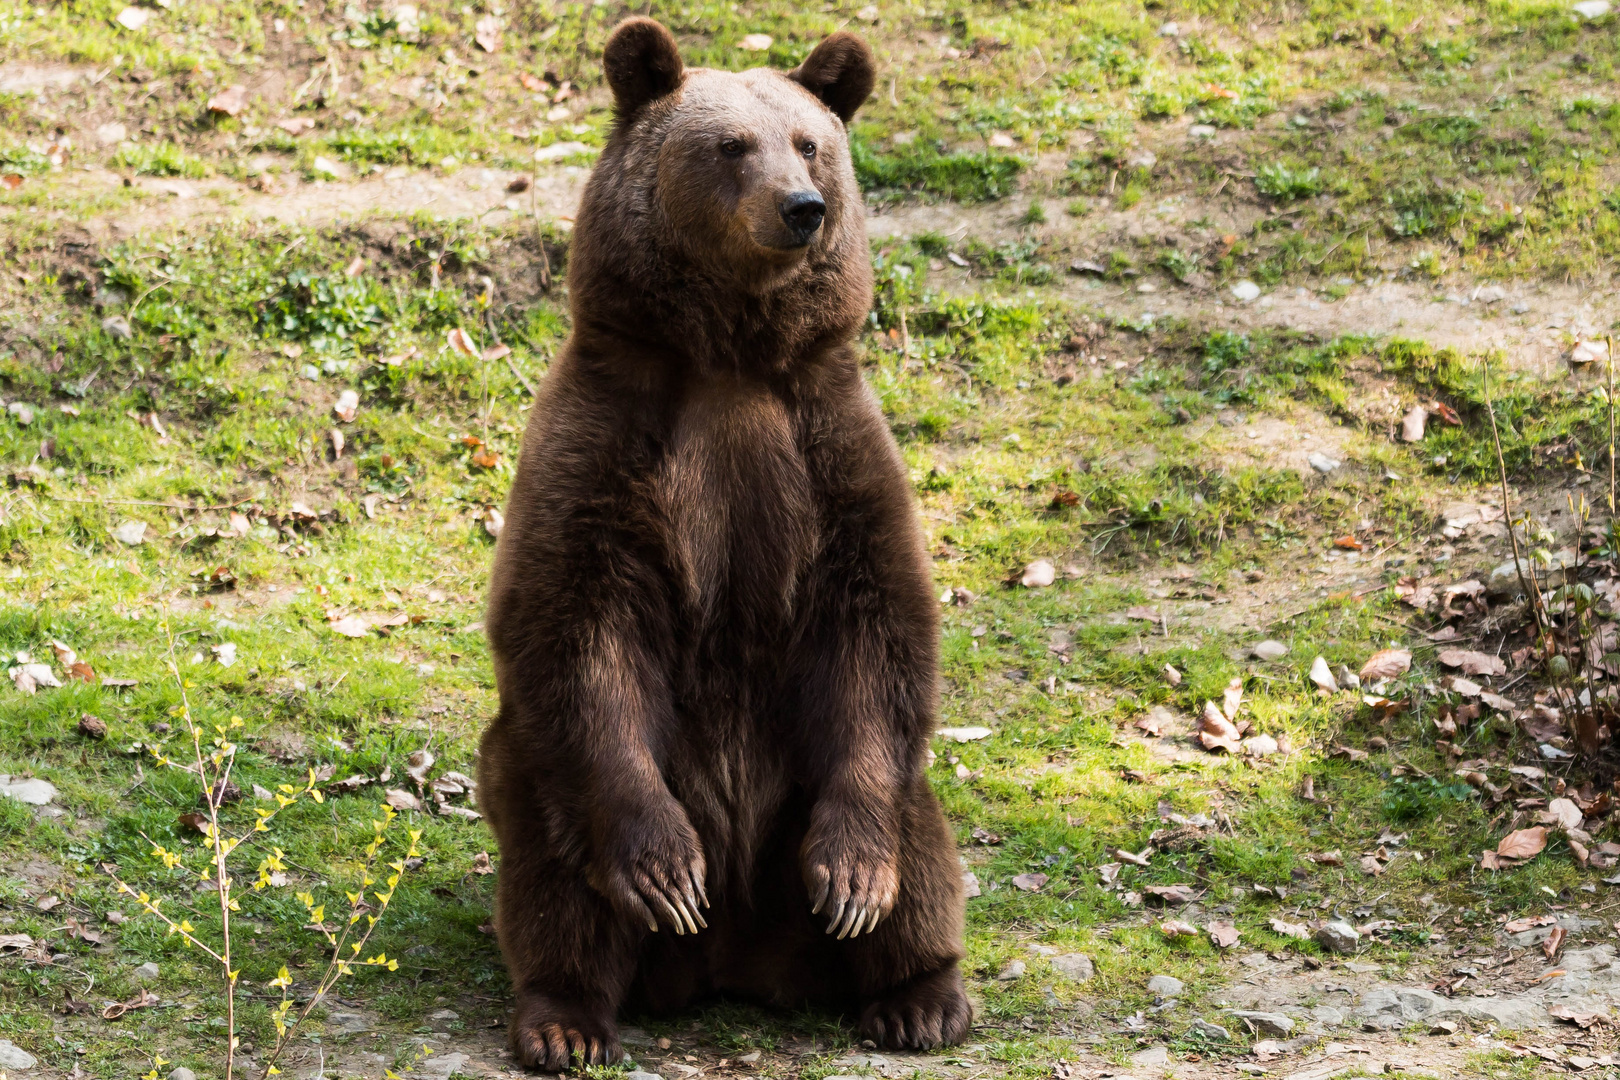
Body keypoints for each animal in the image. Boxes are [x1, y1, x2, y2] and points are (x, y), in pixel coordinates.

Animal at [473, 19, 965, 1075]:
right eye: (732, 145)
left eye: (810, 142)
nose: (802, 208)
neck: (731, 354)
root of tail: (735, 961)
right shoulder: (609, 439)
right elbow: (581, 628)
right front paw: (666, 871)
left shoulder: (828, 450)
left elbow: (877, 630)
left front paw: (856, 883)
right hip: (554, 792)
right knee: (546, 842)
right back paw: (564, 1018)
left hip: (813, 807)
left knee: (918, 825)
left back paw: (919, 996)